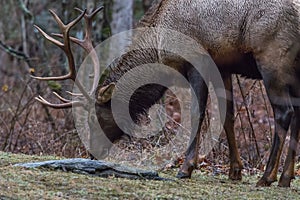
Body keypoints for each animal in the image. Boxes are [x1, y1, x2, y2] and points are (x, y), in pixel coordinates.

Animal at [32, 0, 300, 188]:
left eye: (93, 116)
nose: (91, 153)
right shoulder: (223, 65)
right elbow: (228, 117)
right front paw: (235, 171)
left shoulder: (197, 60)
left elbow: (197, 114)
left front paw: (186, 168)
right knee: (297, 114)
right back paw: (285, 178)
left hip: (272, 61)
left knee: (284, 113)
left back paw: (267, 177)